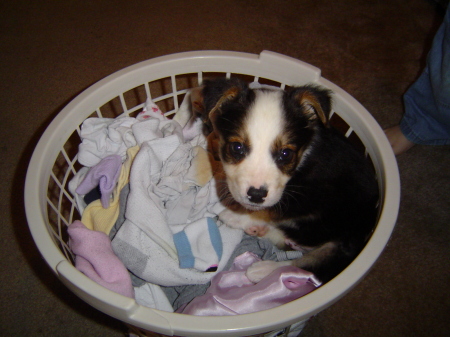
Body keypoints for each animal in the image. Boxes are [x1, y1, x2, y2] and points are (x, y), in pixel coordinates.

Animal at [200, 77, 380, 282]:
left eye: (285, 154)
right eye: (237, 147)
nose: (256, 195)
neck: (305, 157)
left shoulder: (313, 198)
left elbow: (274, 210)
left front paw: (236, 215)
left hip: (341, 245)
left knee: (308, 266)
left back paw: (262, 270)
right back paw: (258, 231)